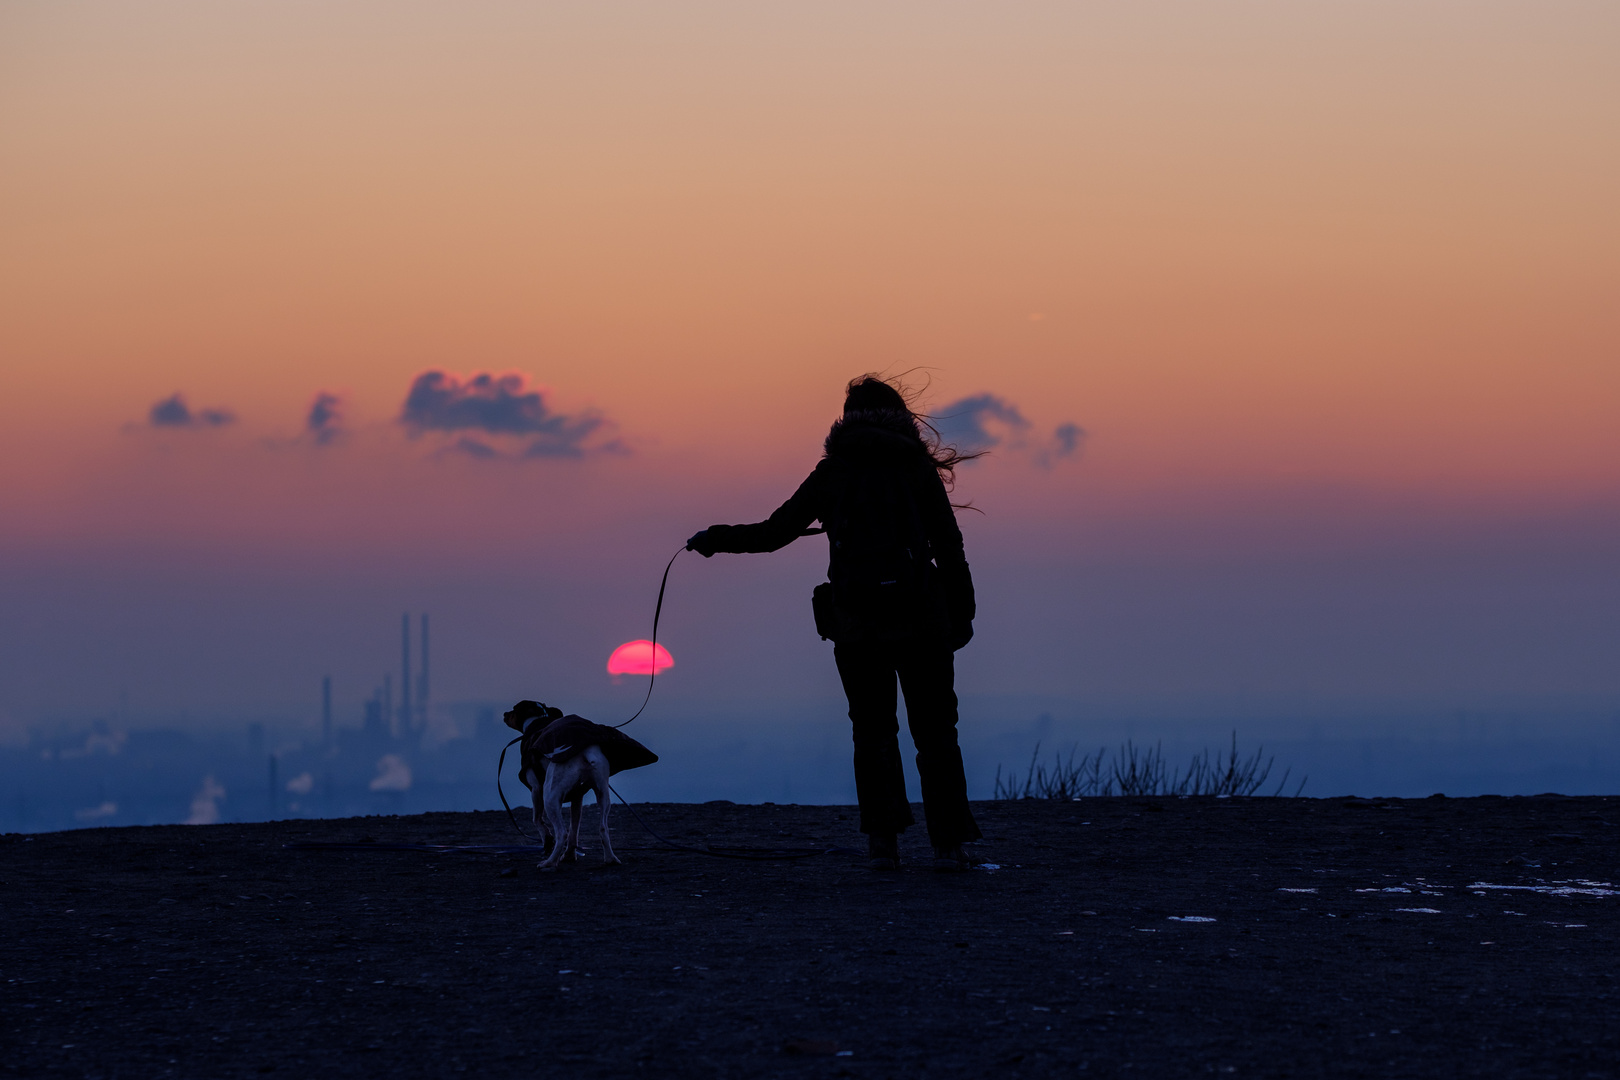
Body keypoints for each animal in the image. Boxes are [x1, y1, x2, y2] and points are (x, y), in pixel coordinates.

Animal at [505, 702, 657, 867]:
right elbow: (574, 828)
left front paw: (548, 841)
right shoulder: (578, 796)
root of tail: (585, 752)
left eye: (514, 709)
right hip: (603, 793)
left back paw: (549, 862)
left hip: (550, 796)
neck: (538, 720)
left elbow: (538, 820)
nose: (504, 714)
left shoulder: (536, 789)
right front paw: (570, 855)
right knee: (603, 828)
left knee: (561, 833)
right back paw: (610, 859)